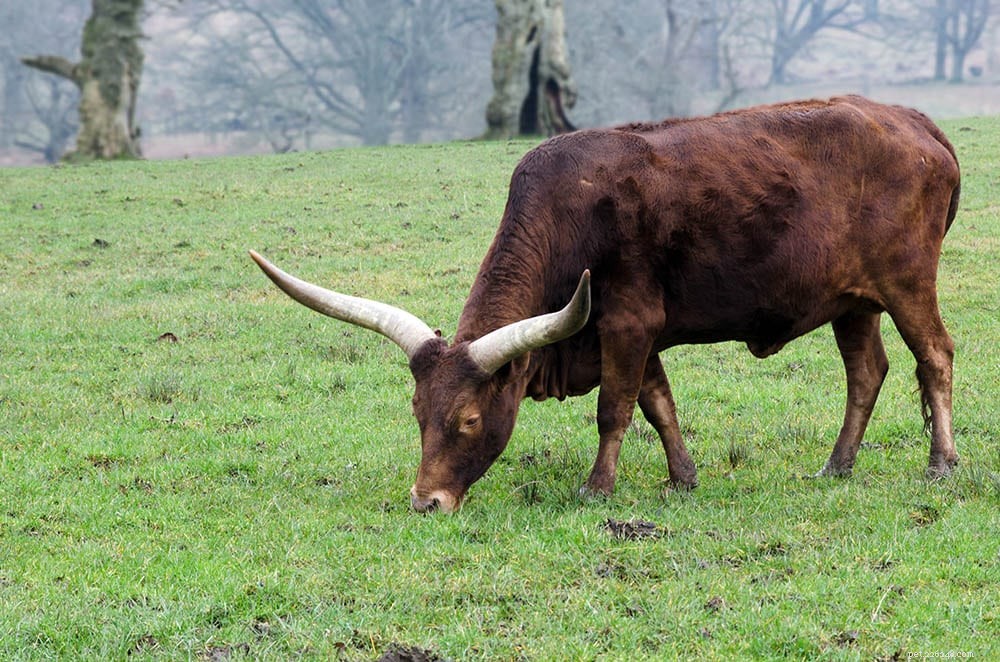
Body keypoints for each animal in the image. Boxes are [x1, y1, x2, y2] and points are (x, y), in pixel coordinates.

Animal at [250, 95, 960, 513]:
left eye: (470, 421)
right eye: (418, 412)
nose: (427, 502)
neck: (567, 214)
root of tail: (915, 121)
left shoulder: (627, 322)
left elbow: (614, 410)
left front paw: (598, 489)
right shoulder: (630, 332)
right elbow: (658, 404)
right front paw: (683, 478)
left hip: (907, 283)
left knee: (935, 358)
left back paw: (942, 465)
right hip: (853, 302)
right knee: (866, 373)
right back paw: (836, 467)